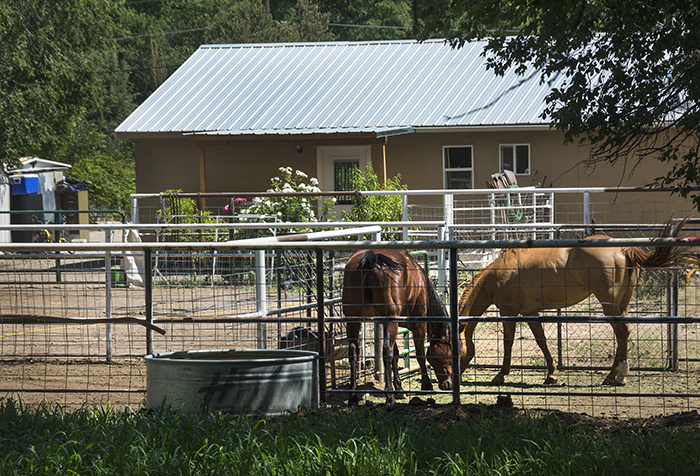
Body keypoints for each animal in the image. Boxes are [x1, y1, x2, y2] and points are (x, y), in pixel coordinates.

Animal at [342, 251, 452, 404]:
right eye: (451, 353)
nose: (449, 384)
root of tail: (371, 256)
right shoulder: (419, 326)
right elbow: (420, 355)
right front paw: (426, 385)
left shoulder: (386, 324)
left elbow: (396, 354)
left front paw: (399, 388)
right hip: (390, 321)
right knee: (386, 351)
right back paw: (389, 397)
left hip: (353, 320)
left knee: (353, 352)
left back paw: (353, 395)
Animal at [430, 221, 688, 388]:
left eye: (451, 350)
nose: (447, 382)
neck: (498, 275)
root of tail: (624, 248)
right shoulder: (531, 314)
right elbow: (542, 342)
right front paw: (551, 374)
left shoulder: (508, 313)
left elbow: (508, 343)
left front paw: (500, 375)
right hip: (621, 305)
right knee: (623, 334)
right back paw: (613, 375)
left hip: (609, 305)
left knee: (622, 332)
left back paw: (618, 376)